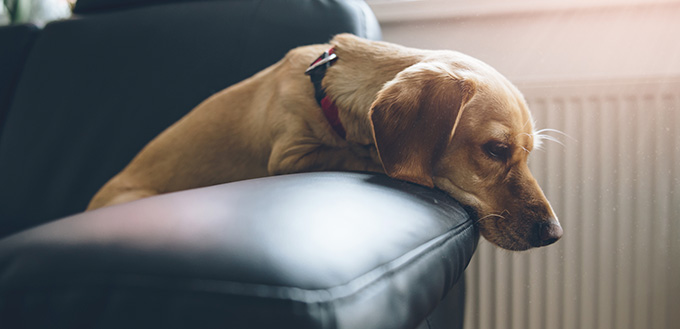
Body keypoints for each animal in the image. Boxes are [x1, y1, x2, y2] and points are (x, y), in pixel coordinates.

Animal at [86, 34, 564, 249]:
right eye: (495, 150)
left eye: (528, 154)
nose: (555, 233)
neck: (327, 88)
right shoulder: (291, 155)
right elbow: (357, 154)